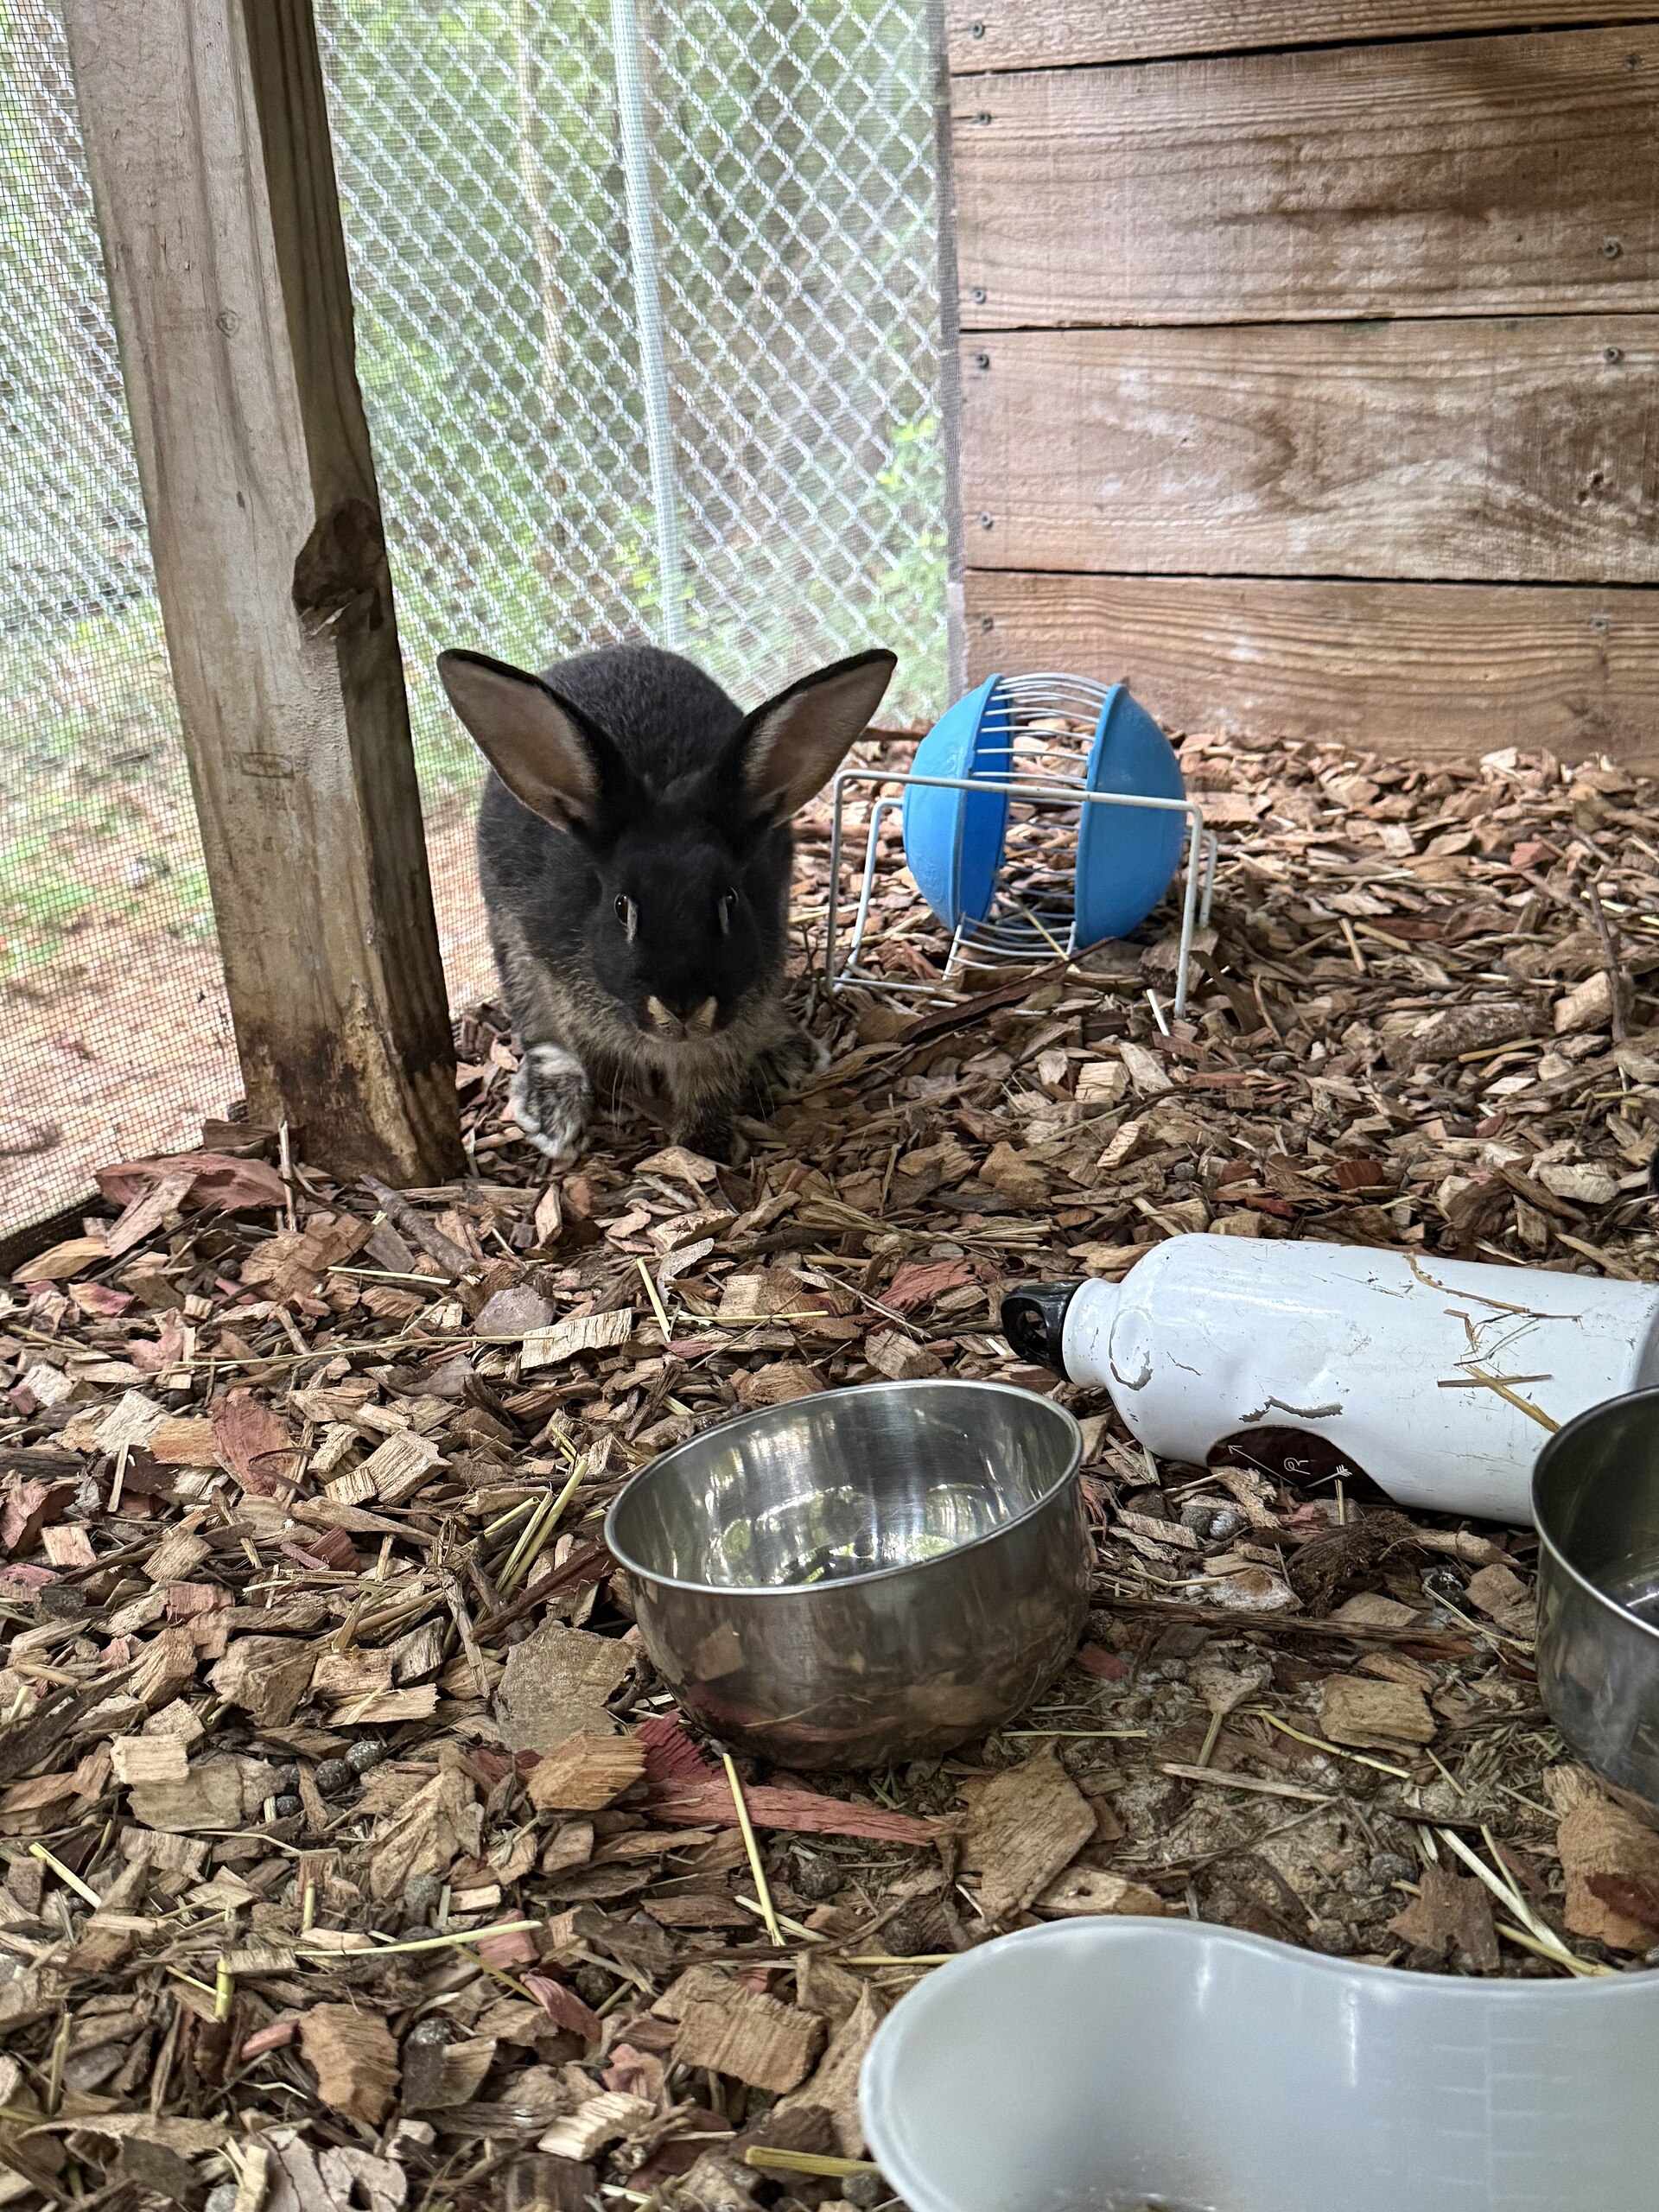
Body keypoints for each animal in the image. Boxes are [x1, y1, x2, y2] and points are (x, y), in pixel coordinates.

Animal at [436, 640, 896, 1166]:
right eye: (622, 907)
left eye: (729, 900)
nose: (682, 1005)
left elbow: (710, 1079)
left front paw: (706, 1145)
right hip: (509, 943)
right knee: (537, 1029)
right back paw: (552, 1110)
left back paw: (788, 1050)